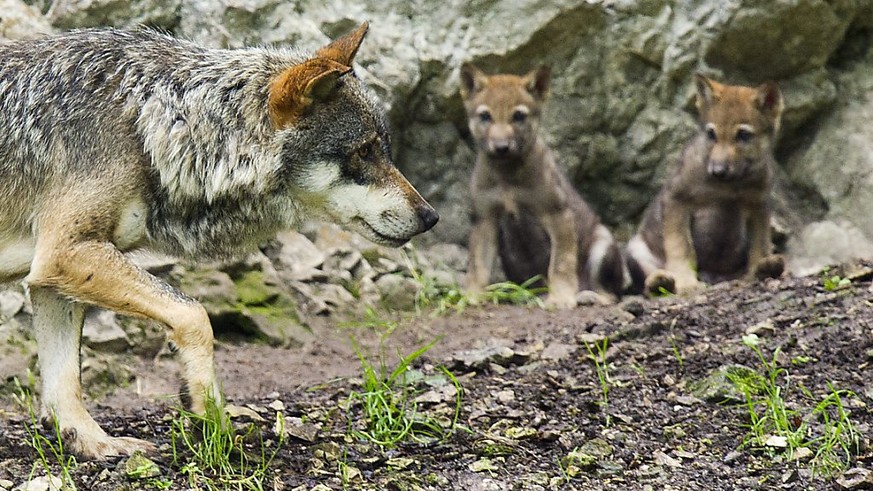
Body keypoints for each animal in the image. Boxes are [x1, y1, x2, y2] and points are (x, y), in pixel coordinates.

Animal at [0, 22, 436, 462]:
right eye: (363, 152)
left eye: (383, 150)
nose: (430, 217)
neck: (151, 123)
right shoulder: (66, 253)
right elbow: (195, 315)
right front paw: (208, 413)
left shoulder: (50, 278)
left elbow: (65, 383)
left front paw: (94, 443)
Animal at [456, 61, 628, 308]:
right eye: (485, 116)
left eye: (518, 116)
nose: (501, 147)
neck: (507, 177)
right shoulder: (484, 219)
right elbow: (478, 265)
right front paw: (472, 296)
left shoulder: (558, 214)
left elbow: (561, 264)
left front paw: (561, 298)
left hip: (601, 245)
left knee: (612, 294)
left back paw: (586, 296)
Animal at [624, 74, 788, 294]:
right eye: (711, 134)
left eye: (743, 135)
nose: (718, 171)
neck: (728, 187)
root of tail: (714, 278)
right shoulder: (676, 202)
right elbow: (681, 248)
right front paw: (686, 282)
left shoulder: (759, 207)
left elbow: (759, 246)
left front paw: (760, 266)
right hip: (636, 248)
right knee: (647, 284)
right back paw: (660, 281)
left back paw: (765, 270)